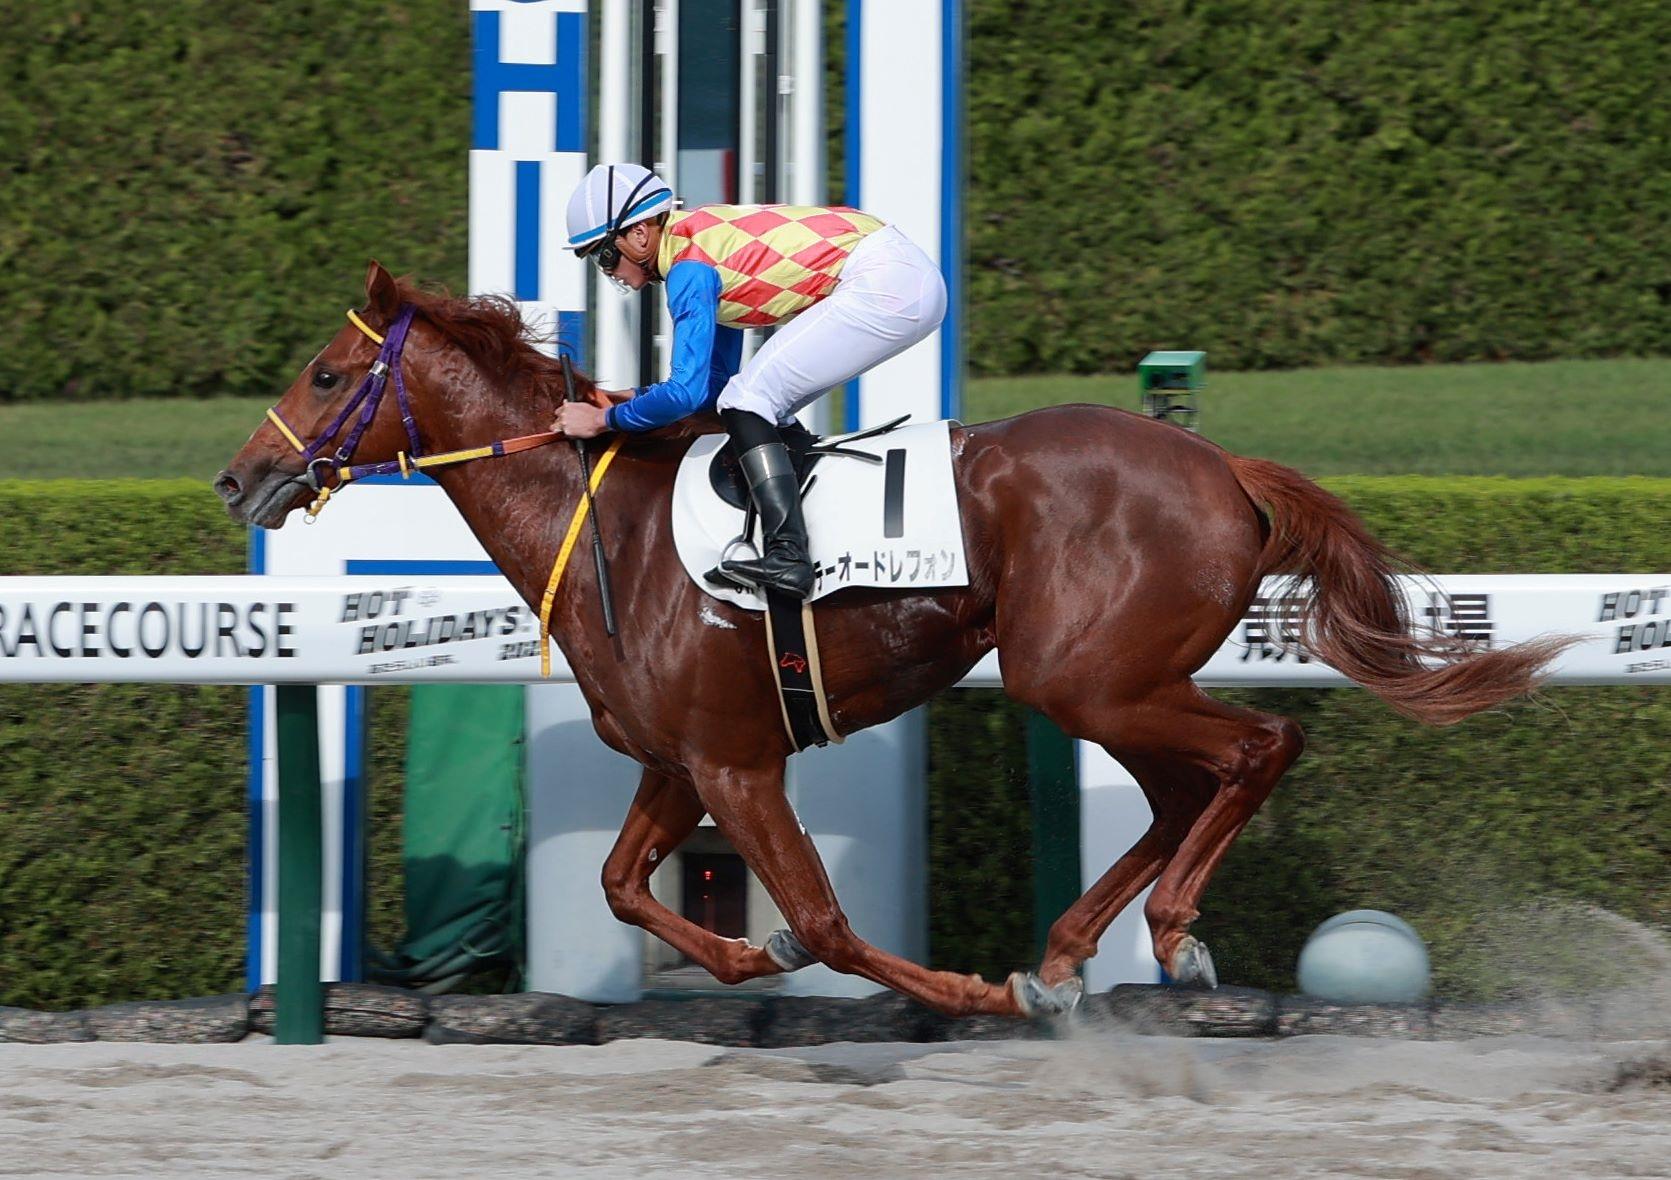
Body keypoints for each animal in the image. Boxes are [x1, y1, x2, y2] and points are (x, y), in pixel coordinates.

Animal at [216, 262, 1568, 1018]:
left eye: (328, 372)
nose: (239, 478)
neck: (609, 527)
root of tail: (1220, 465)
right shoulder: (681, 759)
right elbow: (619, 885)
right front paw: (747, 953)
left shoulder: (738, 762)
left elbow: (822, 922)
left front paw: (961, 988)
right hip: (1105, 681)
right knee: (1186, 790)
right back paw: (1069, 952)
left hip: (1087, 677)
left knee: (1256, 747)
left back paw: (1162, 937)